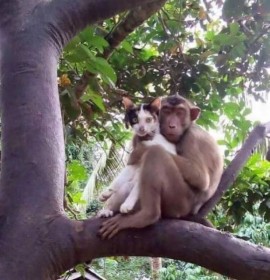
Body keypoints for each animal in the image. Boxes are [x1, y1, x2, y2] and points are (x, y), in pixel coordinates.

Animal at [99, 94, 224, 238]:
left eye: (179, 113)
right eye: (167, 111)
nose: (171, 125)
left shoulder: (191, 138)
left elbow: (201, 179)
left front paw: (127, 203)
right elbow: (127, 171)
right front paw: (108, 192)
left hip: (179, 201)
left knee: (155, 154)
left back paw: (144, 215)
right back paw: (107, 210)